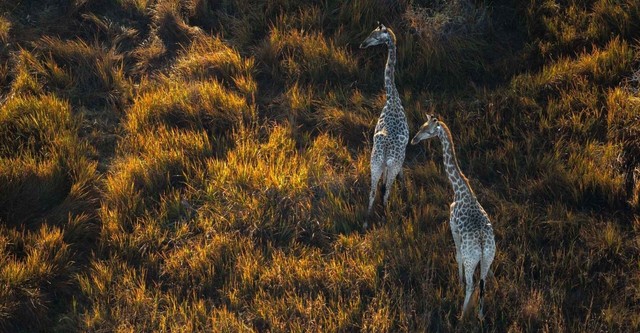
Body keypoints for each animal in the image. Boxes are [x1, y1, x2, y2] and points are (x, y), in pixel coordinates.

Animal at [412, 115, 498, 320]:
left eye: (427, 130)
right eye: (421, 126)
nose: (413, 140)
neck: (460, 190)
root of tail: (482, 246)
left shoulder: (452, 226)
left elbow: (457, 255)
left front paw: (458, 282)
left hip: (471, 259)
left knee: (472, 284)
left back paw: (461, 315)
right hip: (488, 257)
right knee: (483, 283)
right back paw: (480, 316)